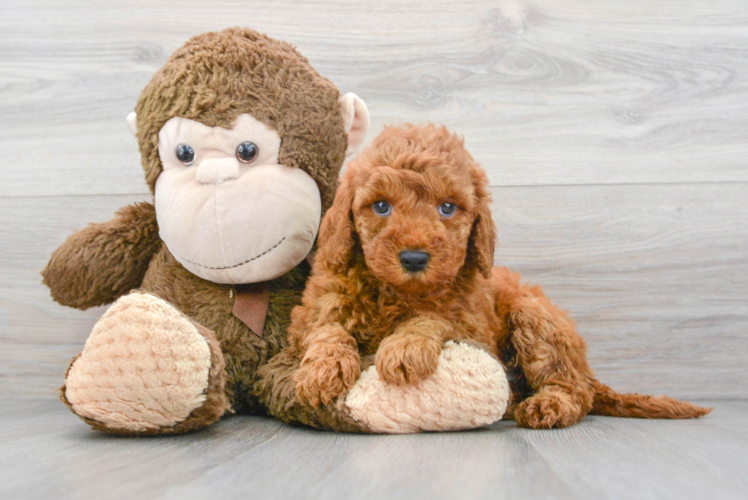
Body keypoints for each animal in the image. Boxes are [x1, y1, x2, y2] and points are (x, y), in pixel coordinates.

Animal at [288, 123, 712, 428]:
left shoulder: (470, 322)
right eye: (380, 206)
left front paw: (405, 346)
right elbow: (327, 328)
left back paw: (548, 405)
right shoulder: (314, 310)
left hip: (535, 318)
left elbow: (433, 317)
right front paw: (321, 370)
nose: (414, 258)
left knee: (575, 389)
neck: (398, 291)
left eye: (447, 208)